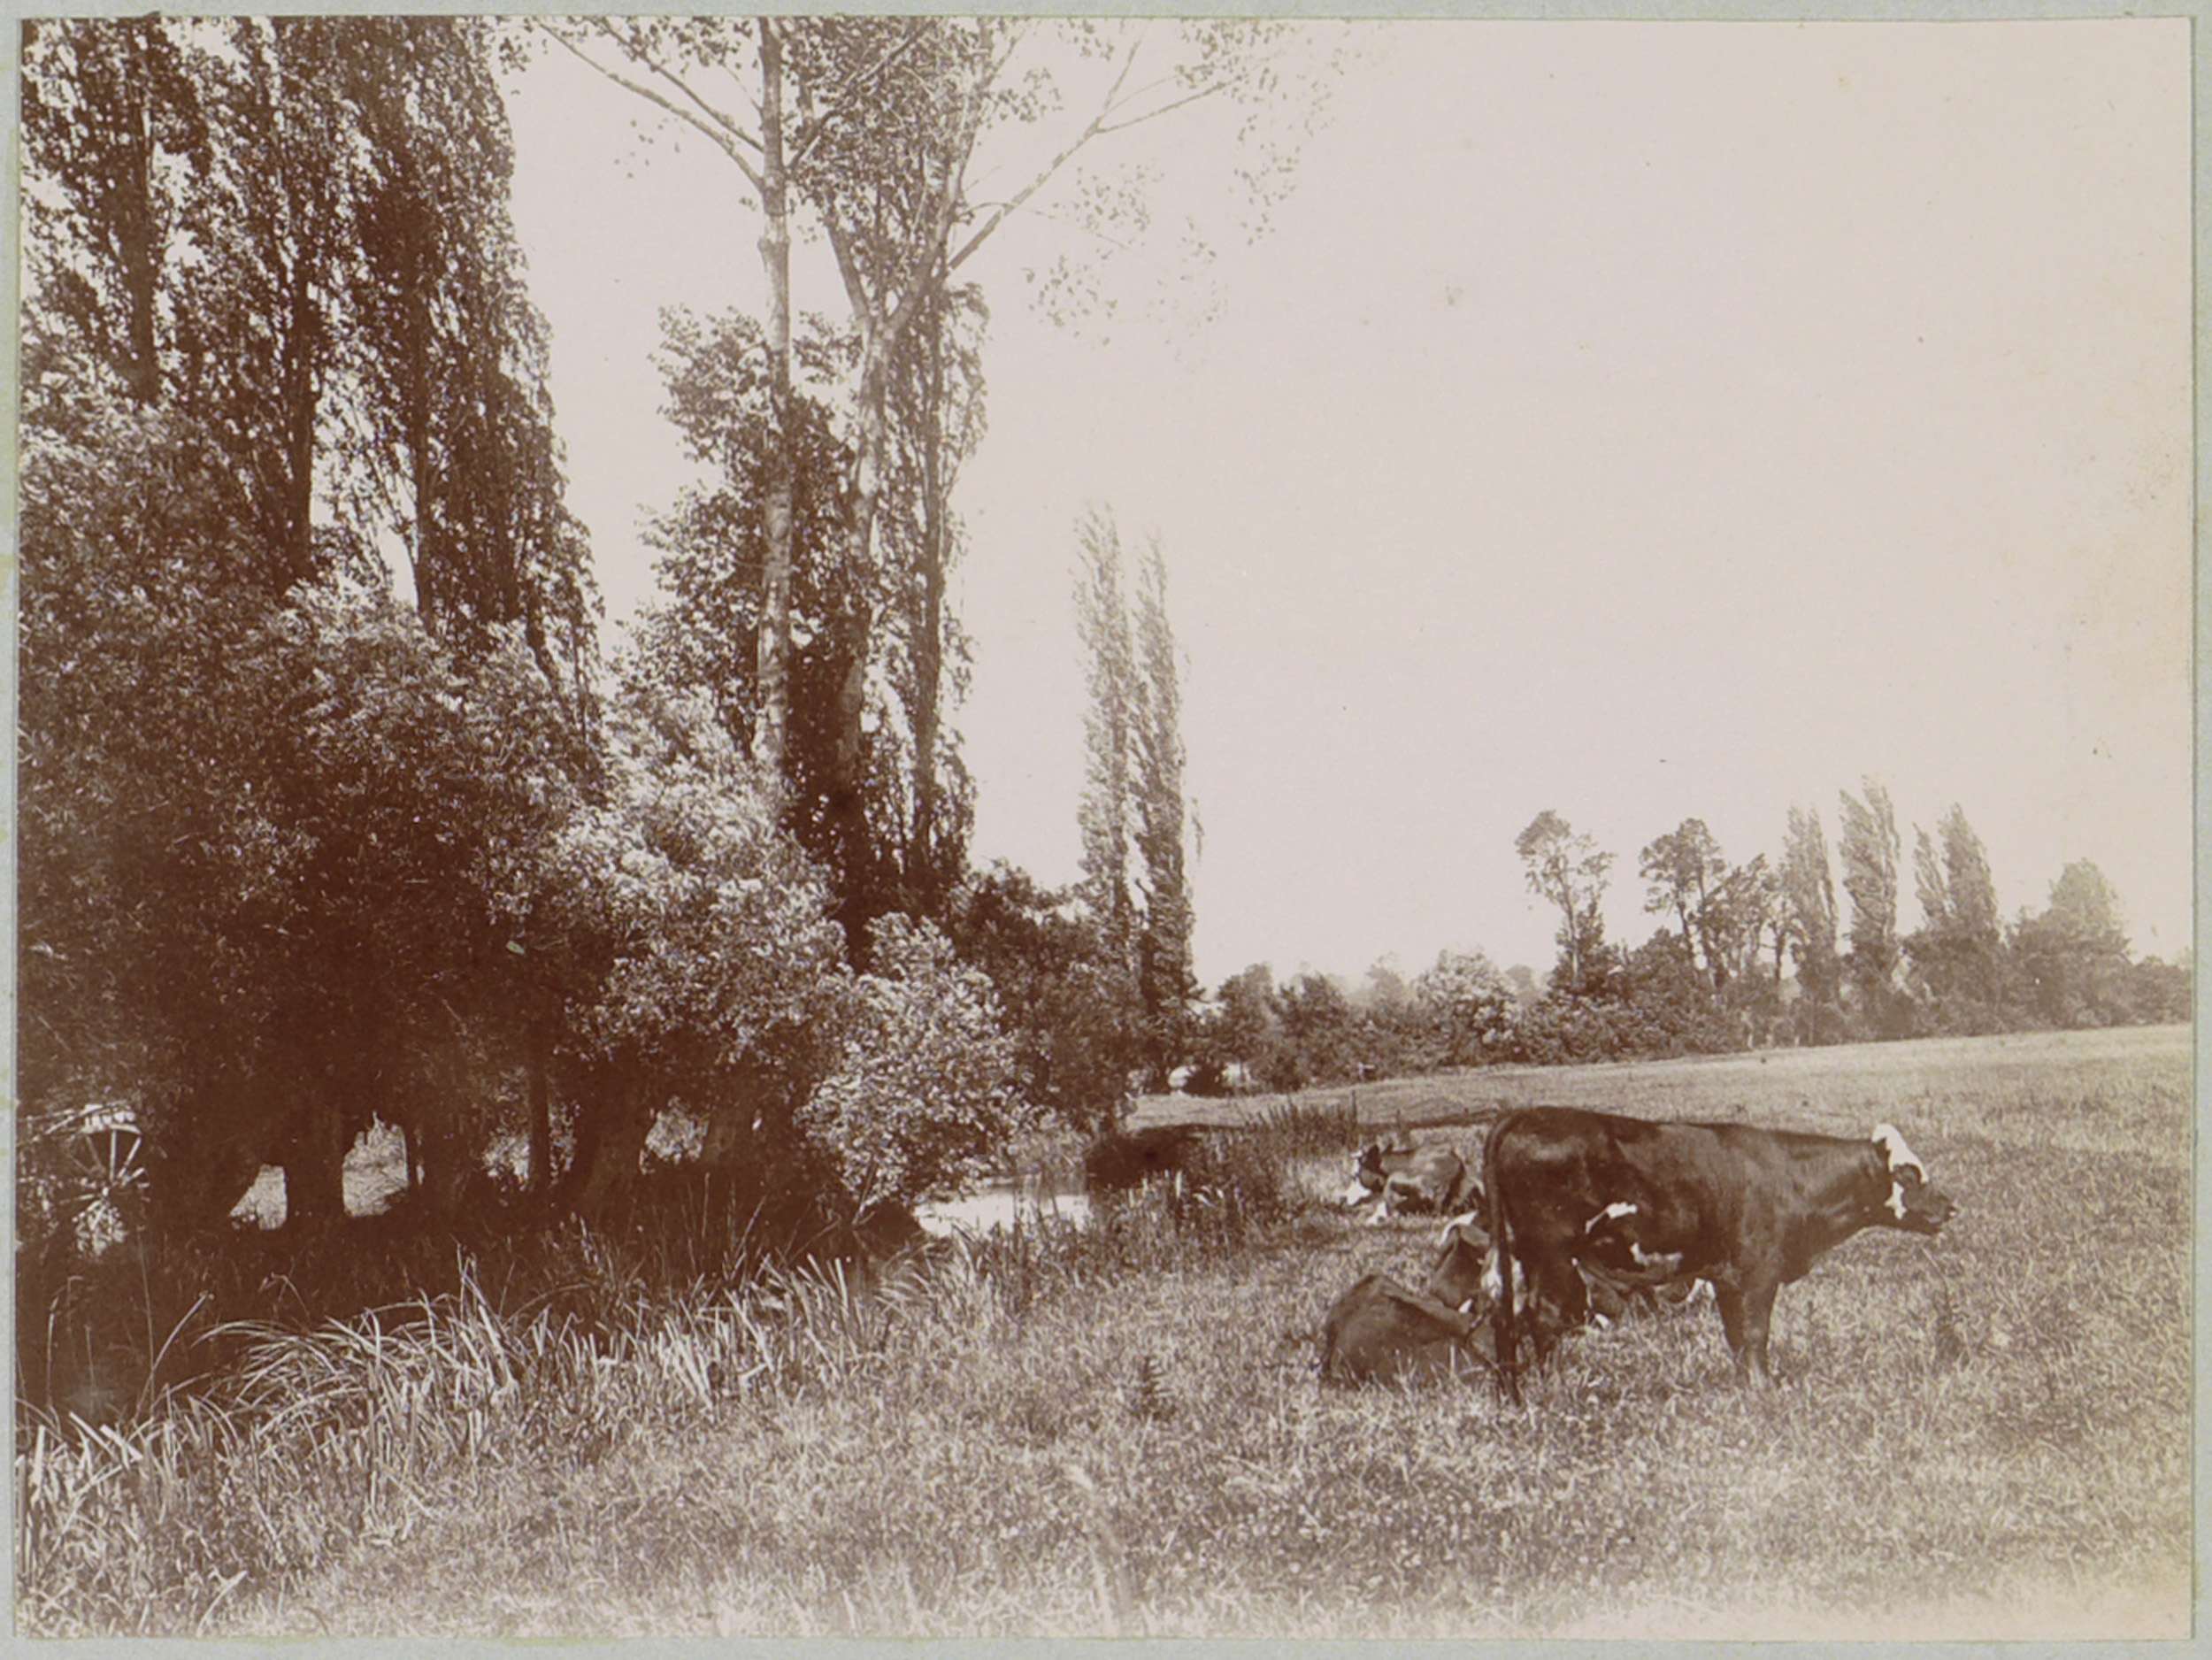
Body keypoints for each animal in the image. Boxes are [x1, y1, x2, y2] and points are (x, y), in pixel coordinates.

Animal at [1480, 1107, 1954, 1396]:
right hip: (1551, 1253)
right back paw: (1555, 1387)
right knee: (1543, 1316)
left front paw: (1745, 1388)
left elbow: (1737, 1338)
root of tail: (1524, 1114)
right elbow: (1757, 1333)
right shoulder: (1759, 1272)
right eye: (1908, 1173)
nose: (1949, 1206)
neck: (1789, 1177)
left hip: (1520, 1258)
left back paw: (1514, 1395)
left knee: (1507, 1316)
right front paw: (1765, 1390)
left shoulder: (1726, 1278)